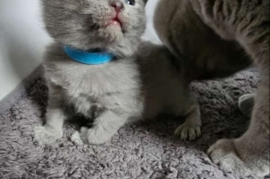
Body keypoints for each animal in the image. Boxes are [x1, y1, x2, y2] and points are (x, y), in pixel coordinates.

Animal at [34, 0, 201, 145]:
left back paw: (189, 127)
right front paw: (49, 133)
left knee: (193, 104)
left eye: (131, 2)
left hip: (172, 98)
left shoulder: (120, 106)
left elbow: (101, 130)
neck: (90, 61)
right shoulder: (58, 95)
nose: (118, 5)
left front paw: (83, 136)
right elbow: (53, 114)